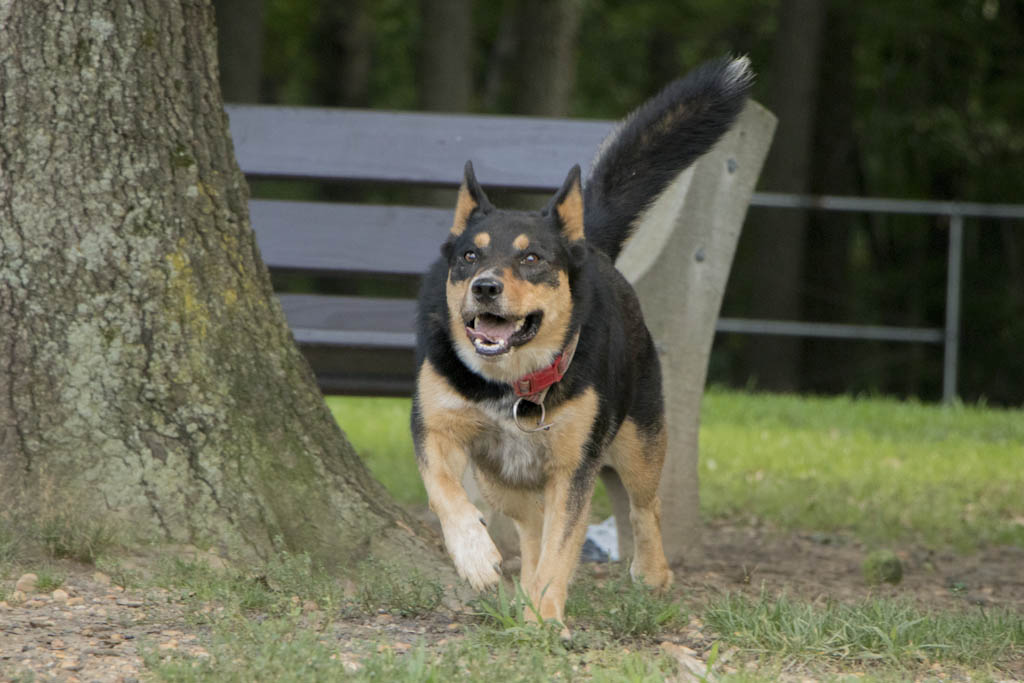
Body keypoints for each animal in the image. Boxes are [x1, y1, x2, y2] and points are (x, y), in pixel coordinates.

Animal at [409, 54, 753, 630]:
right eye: (469, 256)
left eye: (531, 258)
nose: (485, 287)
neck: (512, 385)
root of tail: (589, 246)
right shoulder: (435, 427)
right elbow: (445, 493)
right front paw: (475, 557)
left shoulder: (575, 468)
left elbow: (563, 547)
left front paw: (548, 619)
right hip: (505, 478)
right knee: (529, 528)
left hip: (639, 440)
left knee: (644, 506)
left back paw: (651, 573)